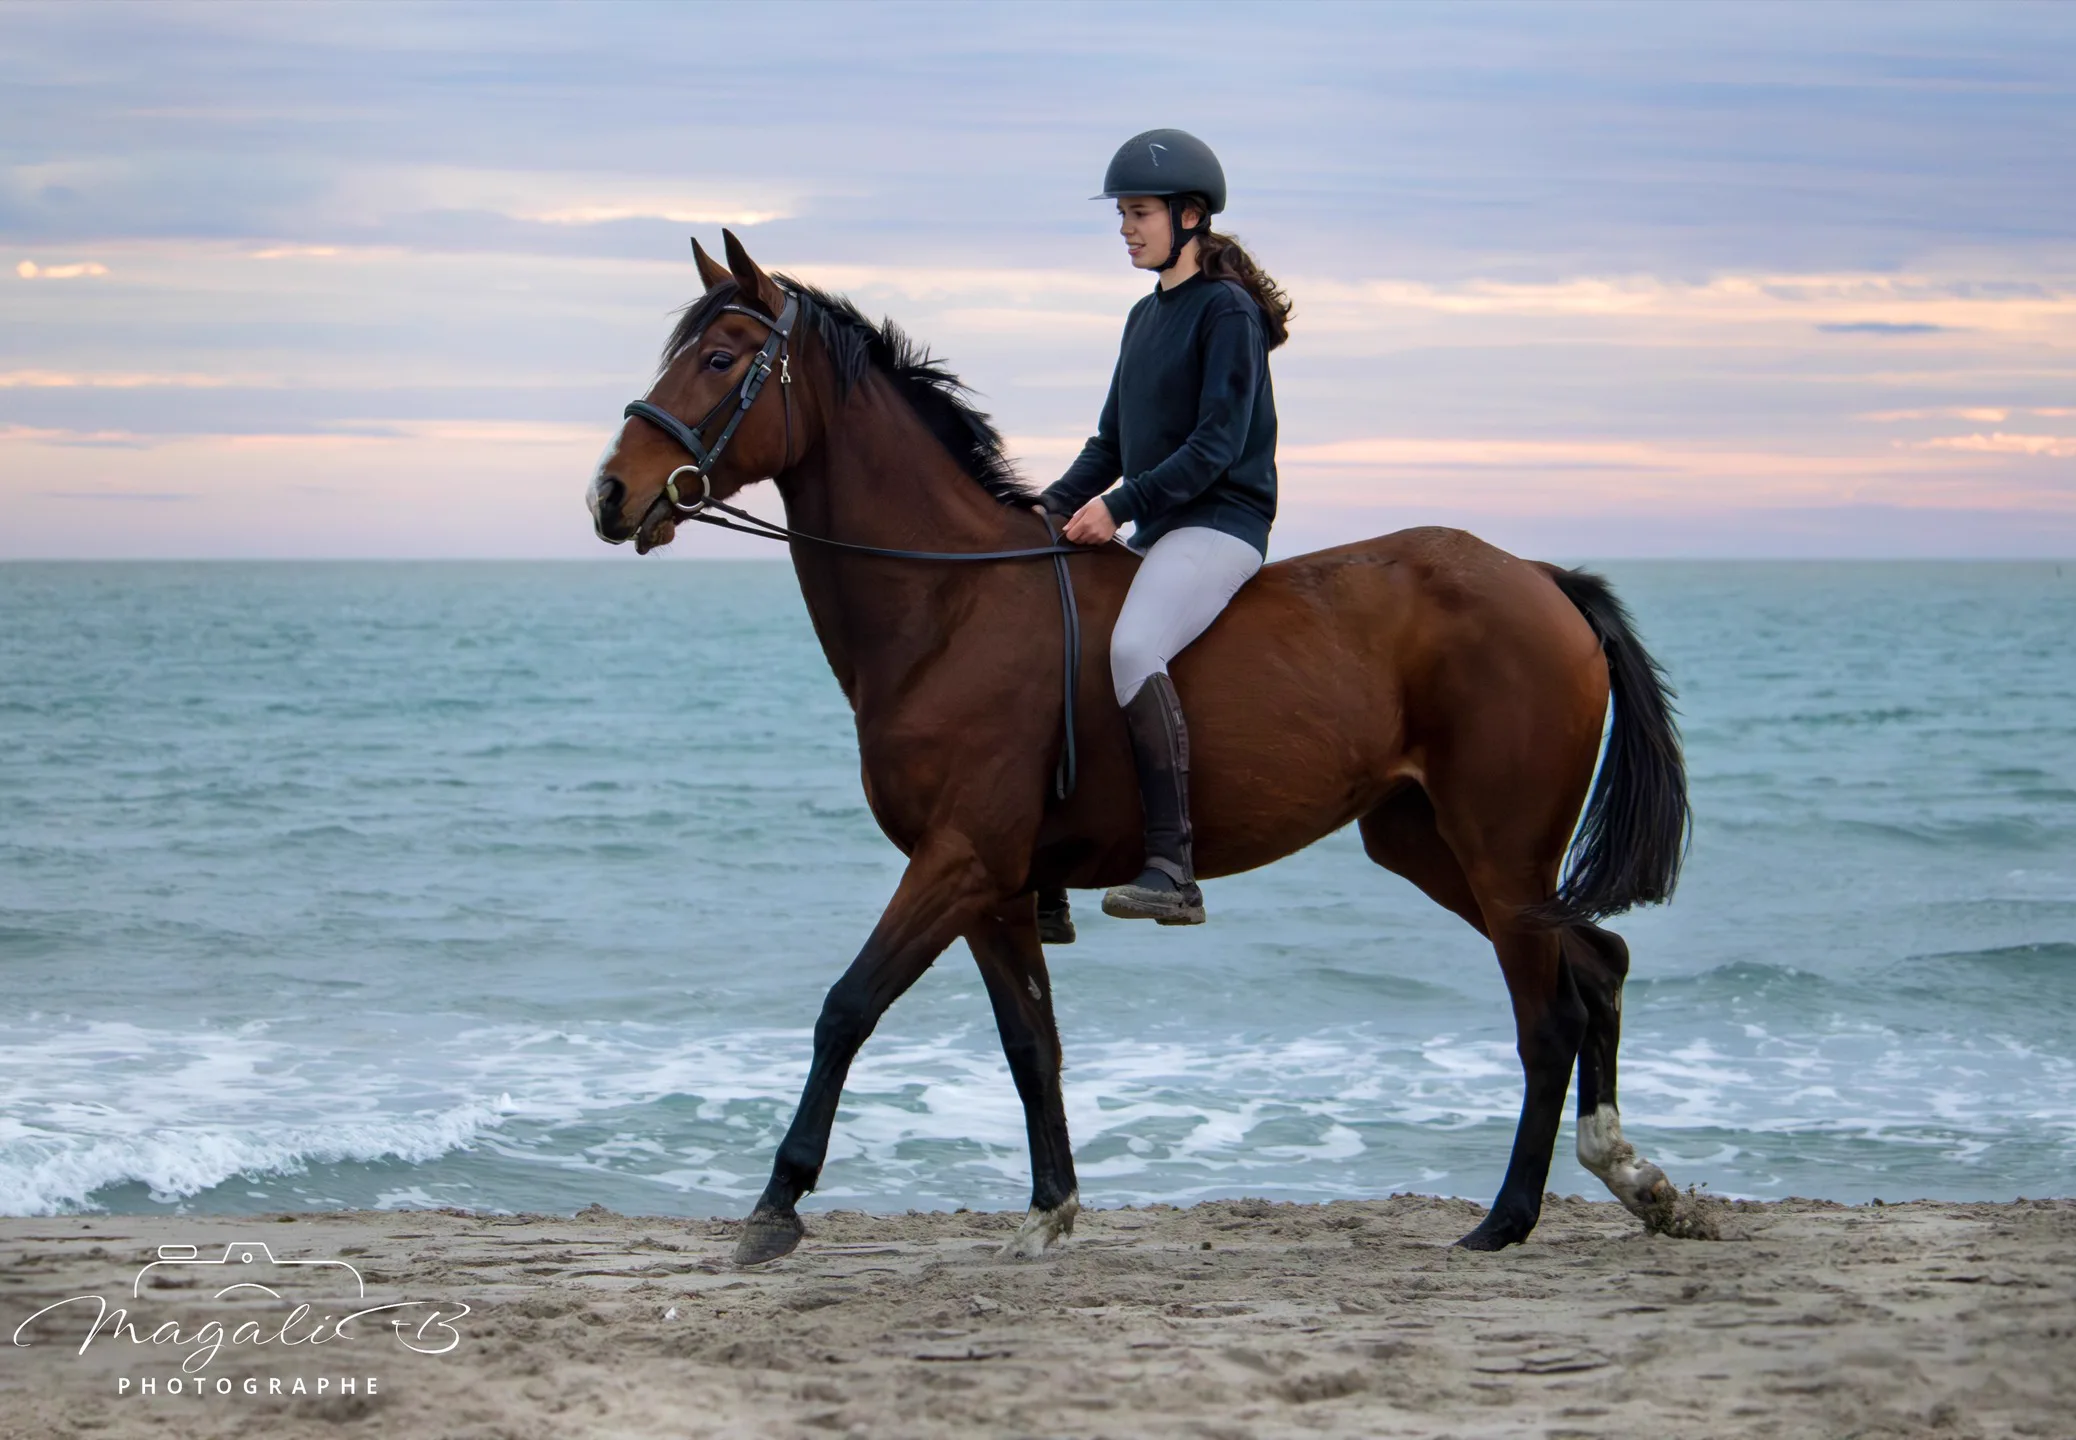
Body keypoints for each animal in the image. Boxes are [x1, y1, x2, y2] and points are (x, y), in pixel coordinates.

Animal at [587, 231, 1697, 1265]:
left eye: (721, 359)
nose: (608, 495)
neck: (950, 607)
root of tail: (1542, 579)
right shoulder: (994, 886)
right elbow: (1030, 1043)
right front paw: (1050, 1209)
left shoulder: (957, 860)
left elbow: (846, 1007)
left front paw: (775, 1206)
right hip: (1429, 844)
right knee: (1596, 963)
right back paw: (1636, 1180)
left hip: (1498, 850)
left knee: (1548, 1018)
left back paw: (1507, 1220)